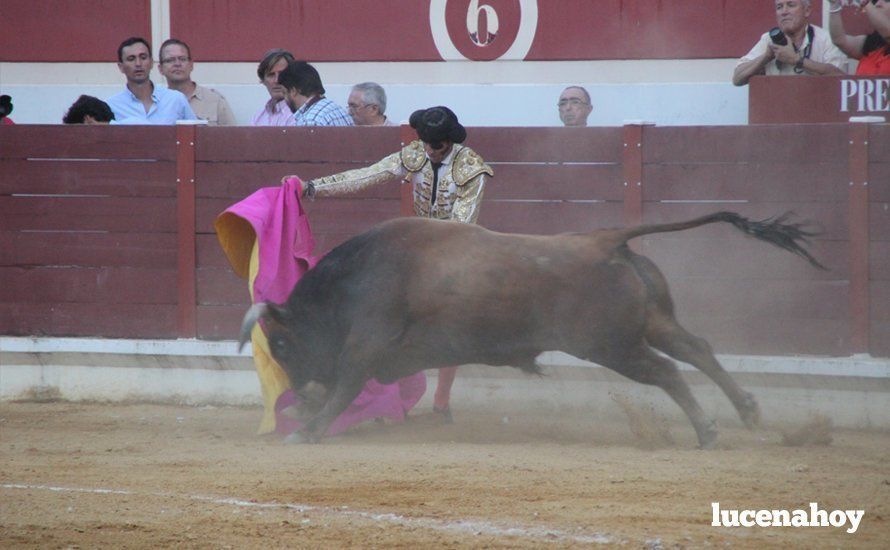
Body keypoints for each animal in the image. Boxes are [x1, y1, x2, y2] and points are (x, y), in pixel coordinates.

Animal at [239, 211, 824, 448]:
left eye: (283, 343)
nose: (298, 398)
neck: (354, 278)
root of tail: (606, 239)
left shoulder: (363, 347)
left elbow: (345, 386)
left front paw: (310, 431)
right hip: (652, 323)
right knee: (696, 348)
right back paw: (747, 411)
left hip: (611, 344)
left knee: (665, 370)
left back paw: (707, 431)